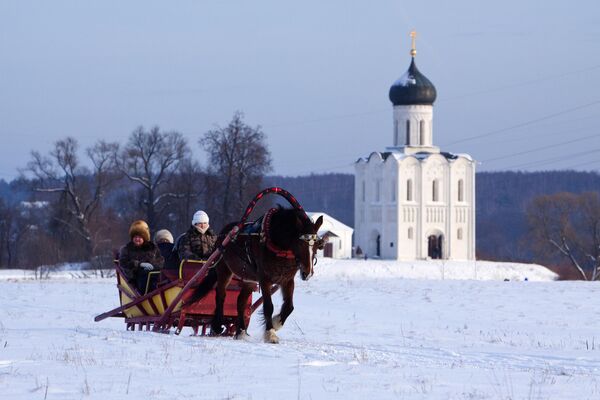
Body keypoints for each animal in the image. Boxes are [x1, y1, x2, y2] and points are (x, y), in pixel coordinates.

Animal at [211, 208, 324, 342]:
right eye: (301, 244)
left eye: (317, 245)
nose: (307, 273)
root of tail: (224, 233)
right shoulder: (265, 279)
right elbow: (268, 307)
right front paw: (270, 333)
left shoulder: (287, 280)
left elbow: (289, 307)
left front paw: (276, 323)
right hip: (224, 269)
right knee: (221, 294)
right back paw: (217, 325)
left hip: (249, 279)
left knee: (241, 301)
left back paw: (241, 331)